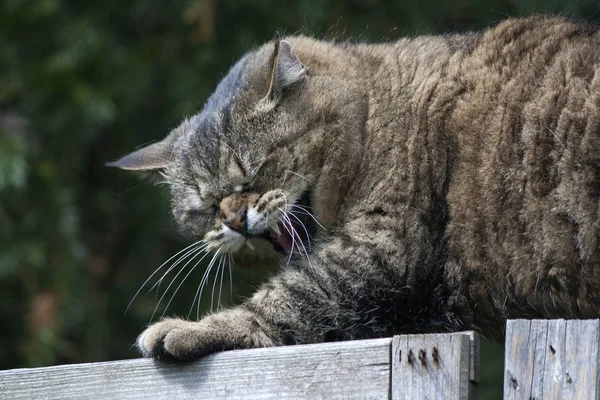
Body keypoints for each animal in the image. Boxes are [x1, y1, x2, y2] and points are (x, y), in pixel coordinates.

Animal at [110, 15, 600, 360]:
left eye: (254, 173)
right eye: (208, 207)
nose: (233, 220)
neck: (376, 109)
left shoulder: (384, 246)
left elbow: (288, 297)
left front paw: (195, 329)